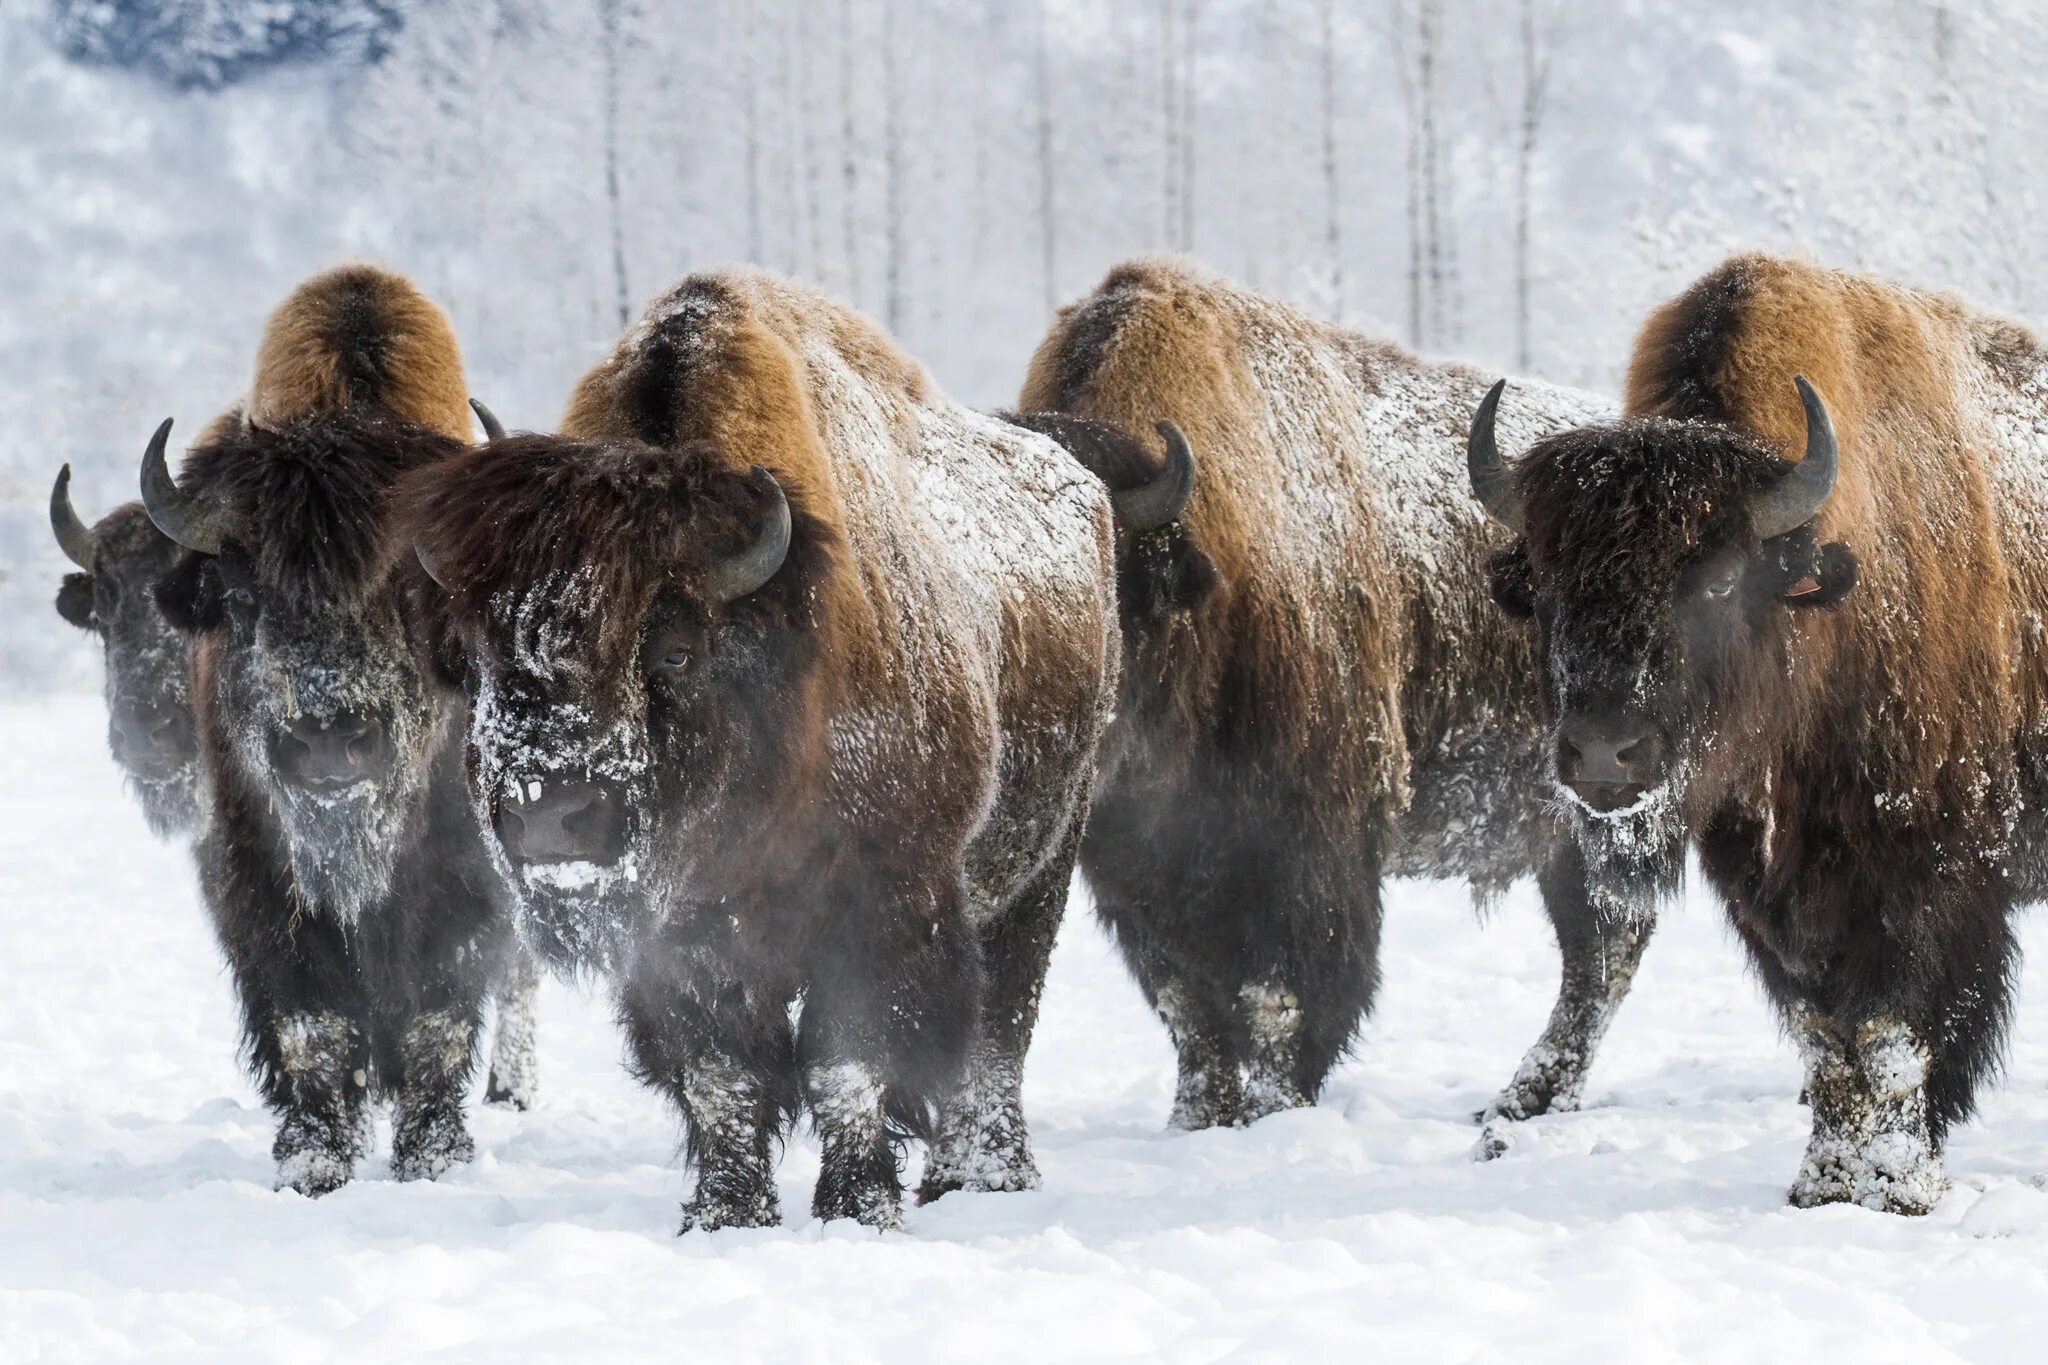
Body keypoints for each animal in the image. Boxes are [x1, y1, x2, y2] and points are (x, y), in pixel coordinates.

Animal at [135, 261, 520, 1186]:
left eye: (410, 589)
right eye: (242, 591)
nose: (328, 741)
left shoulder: (465, 880)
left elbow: (439, 1011)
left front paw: (434, 1155)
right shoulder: (258, 878)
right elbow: (311, 1020)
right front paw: (312, 1160)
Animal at [405, 270, 1114, 1236]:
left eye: (673, 650)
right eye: (480, 653)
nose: (550, 814)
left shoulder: (879, 904)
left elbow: (849, 1061)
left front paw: (859, 1208)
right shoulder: (686, 937)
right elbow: (722, 1073)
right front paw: (725, 1213)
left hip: (1041, 865)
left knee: (1002, 1023)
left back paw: (983, 1174)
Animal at [1015, 255, 1638, 1129]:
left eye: (1103, 571)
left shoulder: (1309, 845)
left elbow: (1284, 997)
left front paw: (1275, 1109)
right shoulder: (1136, 866)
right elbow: (1189, 1005)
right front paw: (1197, 1118)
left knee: (1606, 953)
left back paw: (1519, 1101)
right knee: (1595, 953)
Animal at [1466, 250, 2039, 1211]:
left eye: (1720, 580)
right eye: (1542, 585)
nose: (1603, 754)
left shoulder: (1931, 874)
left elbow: (1895, 1029)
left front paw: (1895, 1186)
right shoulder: (1764, 888)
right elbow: (1822, 1028)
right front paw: (1825, 1179)